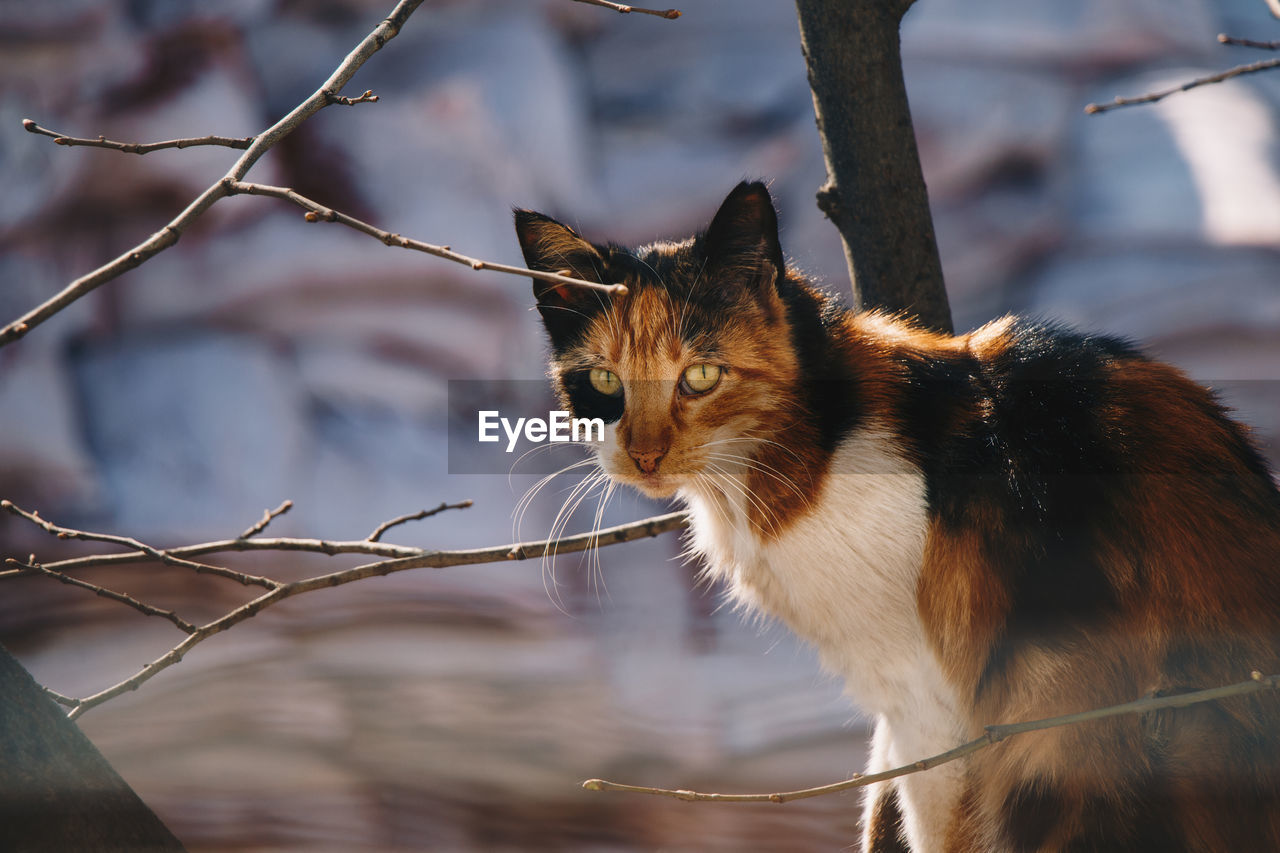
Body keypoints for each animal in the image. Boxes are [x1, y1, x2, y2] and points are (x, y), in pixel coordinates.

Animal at [512, 180, 1280, 850]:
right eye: (604, 381)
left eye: (700, 376)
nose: (643, 456)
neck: (811, 443)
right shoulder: (896, 717)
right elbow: (880, 800)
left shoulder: (931, 705)